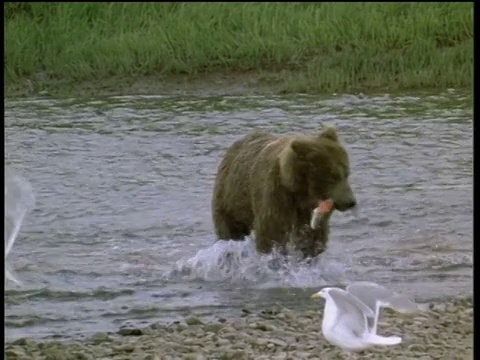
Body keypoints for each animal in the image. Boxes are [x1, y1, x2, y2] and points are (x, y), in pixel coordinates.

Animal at [211, 125, 356, 258]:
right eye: (333, 176)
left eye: (347, 173)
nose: (350, 202)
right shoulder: (275, 194)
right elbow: (272, 232)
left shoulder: (307, 208)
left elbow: (312, 236)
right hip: (231, 197)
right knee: (231, 228)